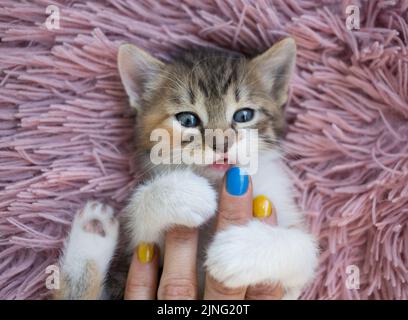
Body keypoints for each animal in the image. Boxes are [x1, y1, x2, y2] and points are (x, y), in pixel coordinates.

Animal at [53, 38, 318, 300]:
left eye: (244, 115)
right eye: (187, 120)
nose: (221, 144)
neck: (217, 181)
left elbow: (303, 249)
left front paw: (241, 251)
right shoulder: (148, 253)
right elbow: (143, 230)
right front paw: (183, 194)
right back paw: (92, 232)